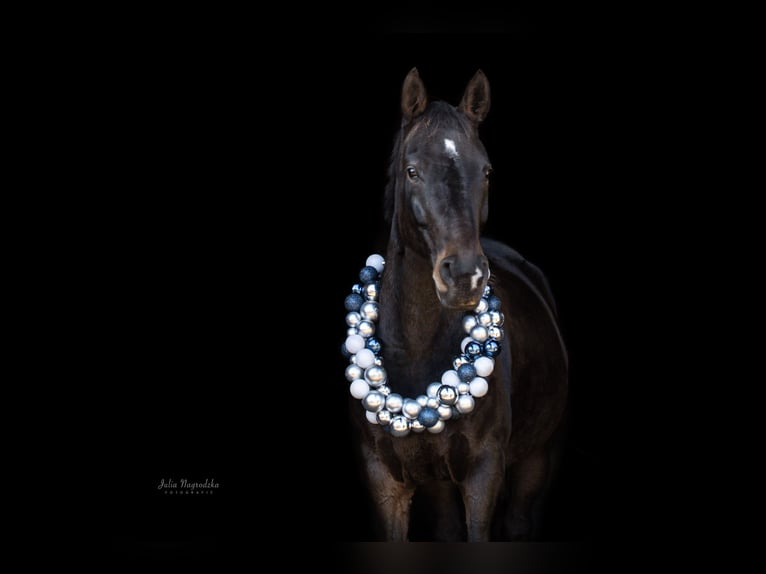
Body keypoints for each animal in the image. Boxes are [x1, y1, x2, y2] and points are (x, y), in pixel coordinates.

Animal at [344, 67, 568, 541]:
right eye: (412, 171)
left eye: (486, 171)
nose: (465, 275)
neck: (416, 353)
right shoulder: (385, 481)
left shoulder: (483, 475)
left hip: (537, 461)